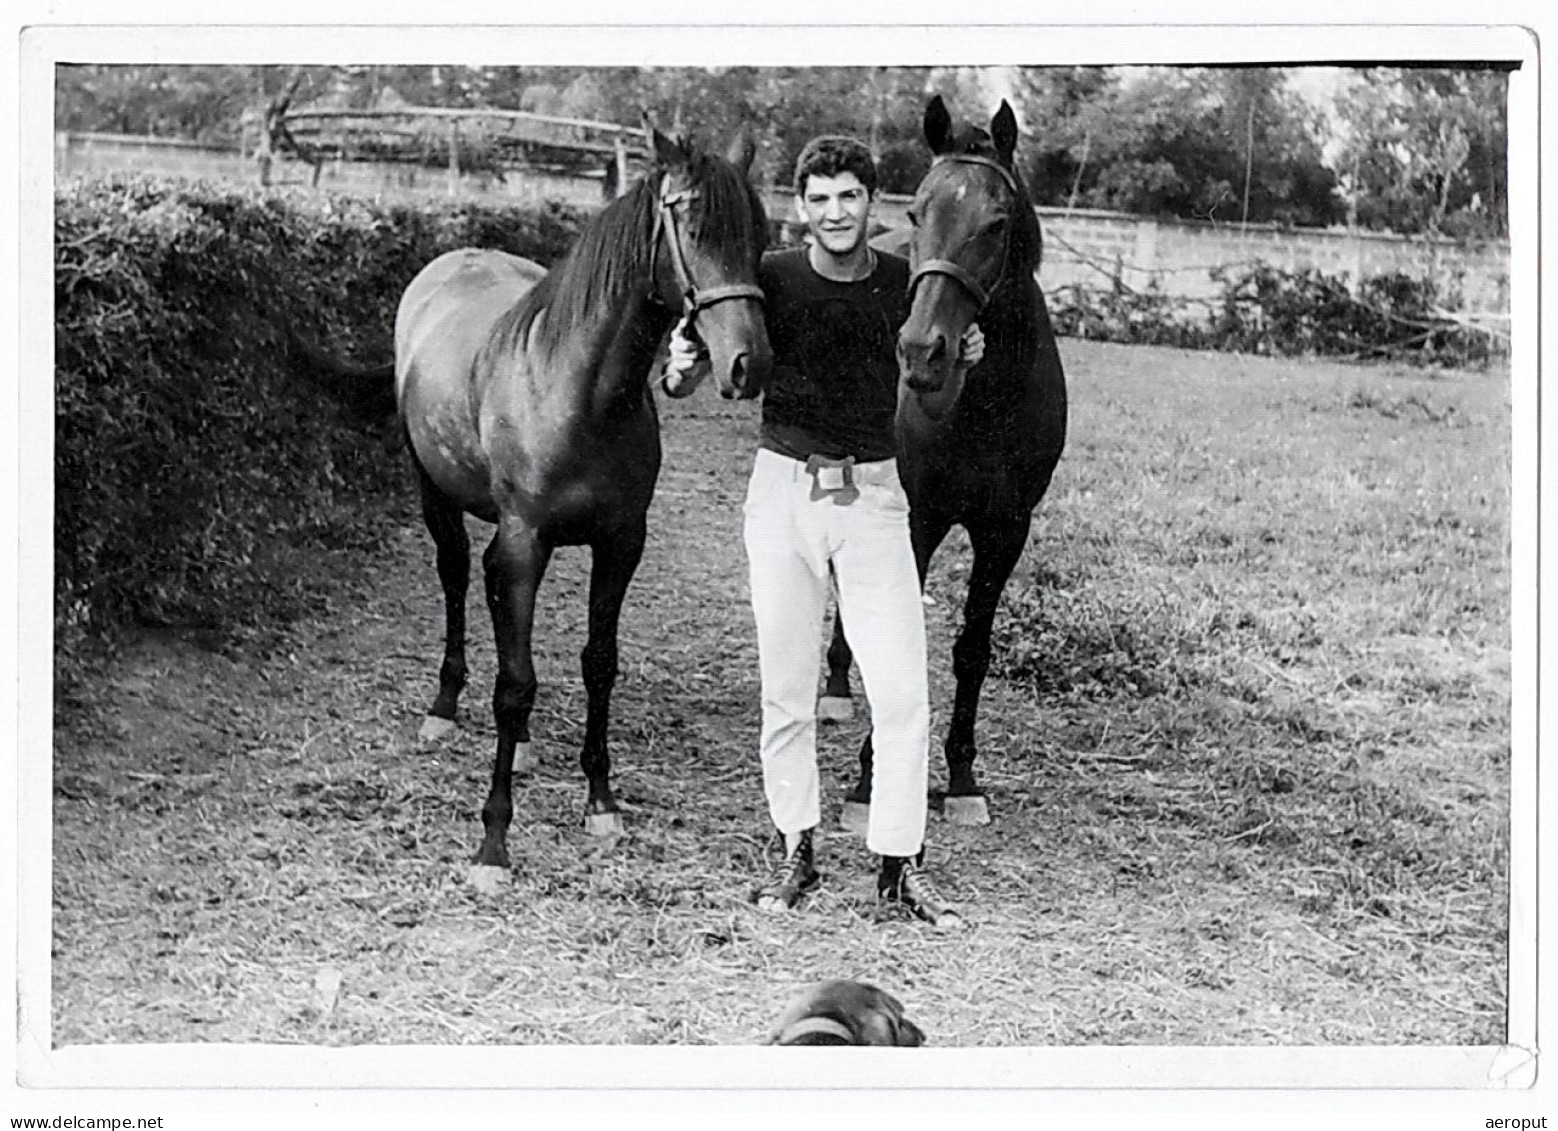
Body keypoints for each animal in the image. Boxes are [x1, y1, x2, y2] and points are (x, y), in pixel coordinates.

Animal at [395, 121, 772, 884]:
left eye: (762, 233)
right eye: (693, 224)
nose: (748, 363)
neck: (579, 389)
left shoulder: (620, 542)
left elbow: (599, 662)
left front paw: (600, 802)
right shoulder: (524, 542)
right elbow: (515, 684)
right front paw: (493, 842)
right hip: (437, 494)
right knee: (455, 576)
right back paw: (445, 707)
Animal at [828, 97, 1071, 835]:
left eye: (997, 222)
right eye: (919, 211)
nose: (921, 352)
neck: (982, 405)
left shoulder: (1004, 530)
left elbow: (973, 648)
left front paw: (962, 777)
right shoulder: (920, 518)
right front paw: (868, 782)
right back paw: (835, 687)